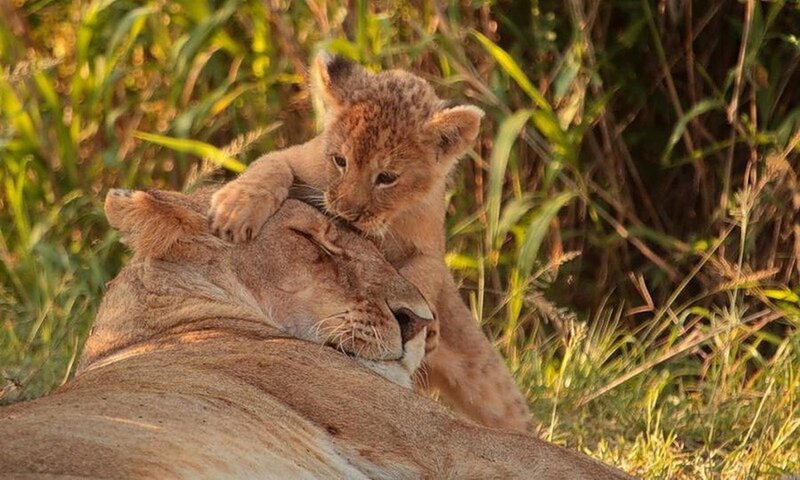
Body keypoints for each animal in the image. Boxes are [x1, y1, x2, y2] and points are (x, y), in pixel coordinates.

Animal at [209, 53, 531, 431]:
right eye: (340, 161)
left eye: (386, 177)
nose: (345, 211)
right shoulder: (301, 158)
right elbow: (271, 165)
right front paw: (234, 210)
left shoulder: (431, 250)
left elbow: (421, 278)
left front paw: (418, 324)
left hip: (486, 379)